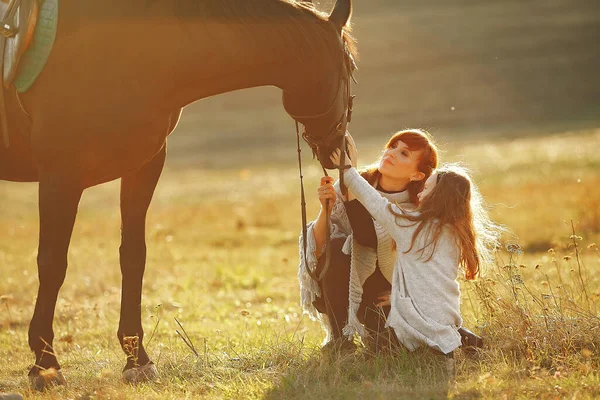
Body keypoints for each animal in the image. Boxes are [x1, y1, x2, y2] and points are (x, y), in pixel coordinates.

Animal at [0, 0, 356, 390]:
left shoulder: (144, 167)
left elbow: (133, 257)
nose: (340, 150)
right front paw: (45, 364)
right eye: (351, 69)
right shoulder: (60, 174)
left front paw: (136, 359)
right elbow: (52, 263)